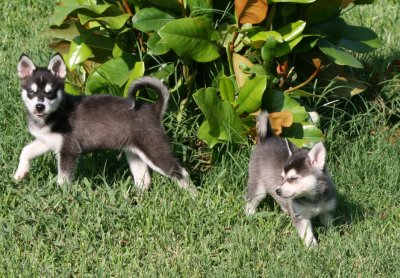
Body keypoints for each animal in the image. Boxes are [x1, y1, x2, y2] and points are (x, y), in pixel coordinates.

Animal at [14, 53, 197, 195]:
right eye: (31, 92)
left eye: (50, 93)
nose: (39, 106)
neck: (57, 111)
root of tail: (153, 109)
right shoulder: (46, 141)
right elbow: (25, 151)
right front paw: (20, 173)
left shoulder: (69, 150)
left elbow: (63, 177)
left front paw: (60, 193)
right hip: (135, 154)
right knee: (144, 179)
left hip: (154, 150)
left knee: (181, 172)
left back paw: (193, 197)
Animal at [245, 112, 336, 247]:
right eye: (282, 177)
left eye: (293, 178)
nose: (278, 191)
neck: (313, 198)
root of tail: (268, 137)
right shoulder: (301, 216)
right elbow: (307, 234)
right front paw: (312, 247)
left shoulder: (327, 211)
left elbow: (329, 225)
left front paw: (334, 238)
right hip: (258, 187)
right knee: (250, 200)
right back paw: (249, 214)